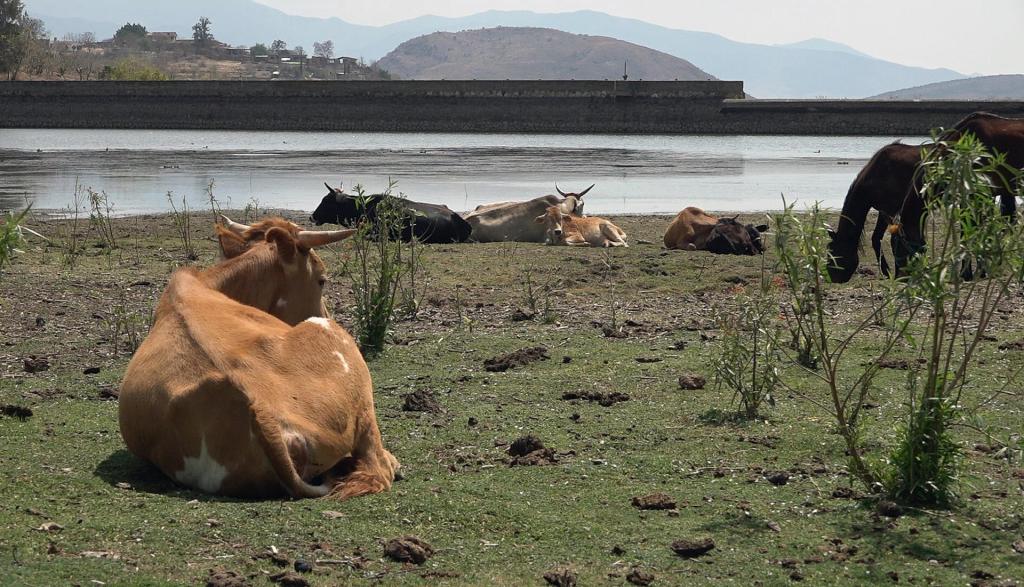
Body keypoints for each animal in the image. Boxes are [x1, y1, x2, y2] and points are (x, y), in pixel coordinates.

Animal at [827, 112, 1019, 284]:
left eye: (833, 255)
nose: (833, 277)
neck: (878, 172)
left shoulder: (889, 209)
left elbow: (876, 238)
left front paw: (887, 271)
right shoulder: (884, 210)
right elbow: (877, 238)